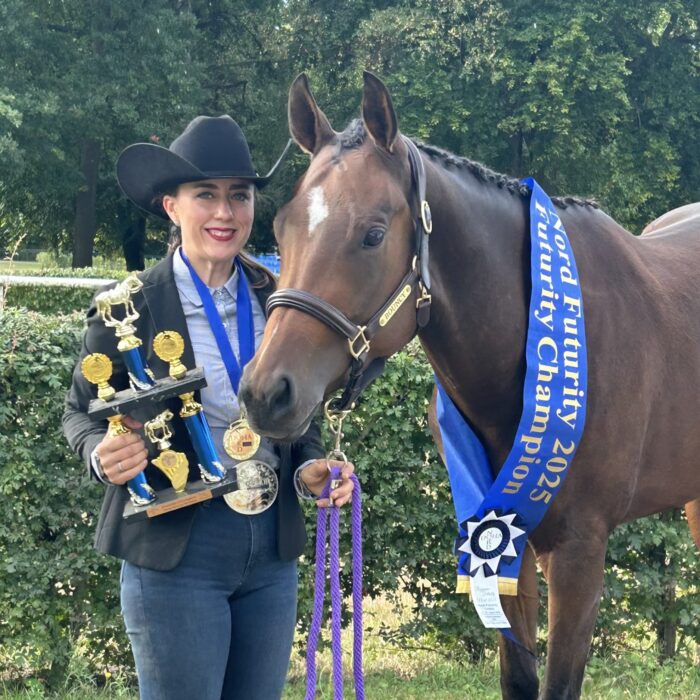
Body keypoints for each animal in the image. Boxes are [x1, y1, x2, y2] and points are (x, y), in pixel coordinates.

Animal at [238, 72, 700, 699]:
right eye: (283, 229)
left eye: (373, 234)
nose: (266, 392)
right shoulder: (505, 539)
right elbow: (519, 677)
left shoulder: (580, 552)